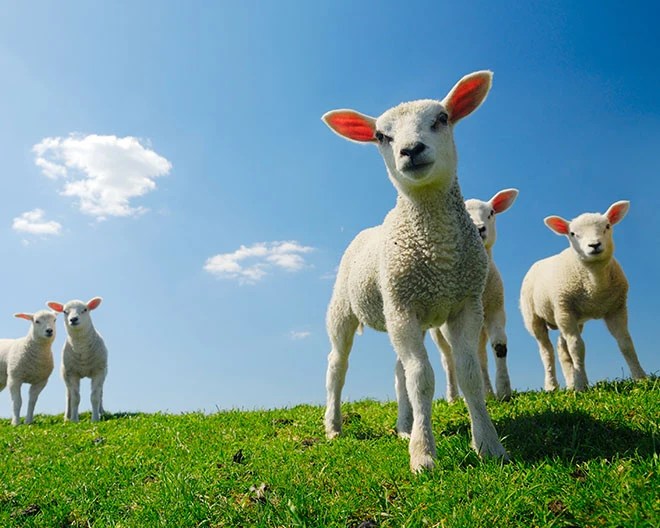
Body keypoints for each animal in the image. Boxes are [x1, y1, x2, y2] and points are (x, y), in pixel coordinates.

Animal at [322, 70, 508, 472]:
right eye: (381, 136)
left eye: (442, 119)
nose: (411, 150)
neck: (438, 252)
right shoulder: (403, 307)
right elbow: (422, 378)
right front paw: (423, 455)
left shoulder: (465, 304)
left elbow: (468, 373)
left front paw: (488, 444)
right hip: (348, 309)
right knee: (337, 366)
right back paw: (333, 426)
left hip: (406, 313)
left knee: (398, 372)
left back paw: (404, 425)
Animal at [430, 188, 518, 402]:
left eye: (492, 213)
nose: (479, 229)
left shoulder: (496, 309)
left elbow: (499, 346)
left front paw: (503, 391)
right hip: (437, 331)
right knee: (448, 359)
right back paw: (453, 397)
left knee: (480, 355)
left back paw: (488, 392)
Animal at [520, 201, 647, 391]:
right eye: (572, 234)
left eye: (607, 226)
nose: (594, 245)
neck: (595, 286)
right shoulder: (565, 309)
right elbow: (577, 347)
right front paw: (581, 385)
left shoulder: (617, 308)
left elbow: (625, 343)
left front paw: (641, 378)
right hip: (535, 316)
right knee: (547, 351)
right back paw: (552, 386)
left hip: (570, 317)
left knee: (562, 348)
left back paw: (570, 383)